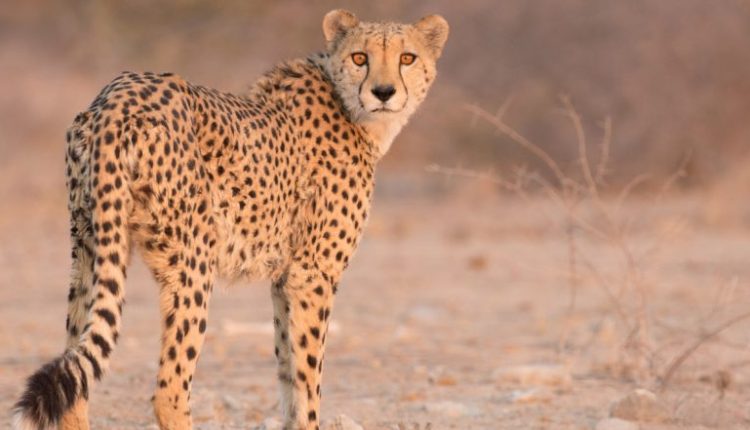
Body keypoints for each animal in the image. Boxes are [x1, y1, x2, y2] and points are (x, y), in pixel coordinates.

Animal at [12, 9, 448, 430]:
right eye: (360, 58)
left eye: (407, 58)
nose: (384, 92)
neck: (354, 112)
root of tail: (119, 94)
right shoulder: (314, 274)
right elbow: (309, 381)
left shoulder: (285, 278)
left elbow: (288, 371)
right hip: (192, 263)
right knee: (169, 391)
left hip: (90, 245)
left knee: (75, 380)